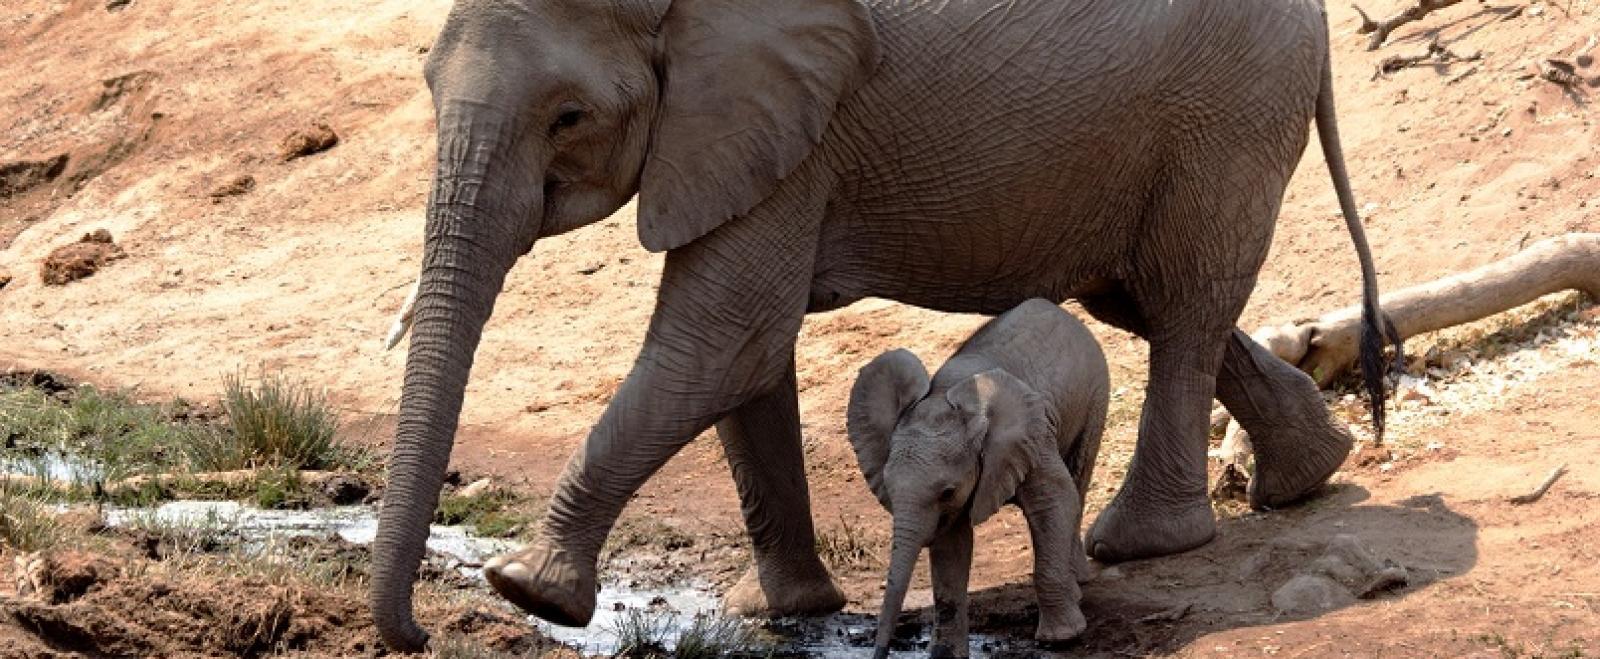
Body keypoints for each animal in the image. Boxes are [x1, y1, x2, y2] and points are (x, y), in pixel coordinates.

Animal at [848, 299, 1108, 657]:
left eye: (947, 491)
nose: (880, 653)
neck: (945, 396)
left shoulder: (1033, 437)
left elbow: (1053, 501)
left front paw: (1062, 639)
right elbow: (951, 543)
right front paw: (945, 657)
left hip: (1095, 394)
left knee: (1078, 481)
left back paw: (1078, 586)